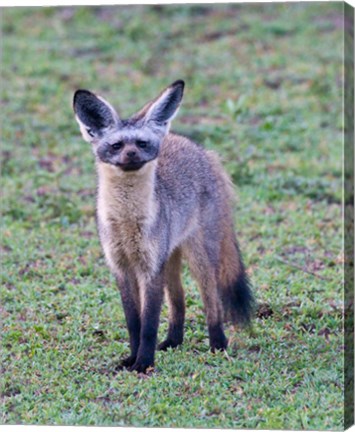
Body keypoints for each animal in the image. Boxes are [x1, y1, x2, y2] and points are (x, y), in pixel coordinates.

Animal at [73, 79, 256, 372]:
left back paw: (218, 344)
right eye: (116, 146)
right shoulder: (121, 267)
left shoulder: (150, 268)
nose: (131, 154)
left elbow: (148, 325)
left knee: (212, 301)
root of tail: (203, 151)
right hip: (170, 260)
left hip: (199, 259)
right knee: (179, 301)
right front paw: (132, 358)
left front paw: (144, 363)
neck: (127, 222)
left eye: (142, 143)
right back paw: (173, 341)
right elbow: (134, 323)